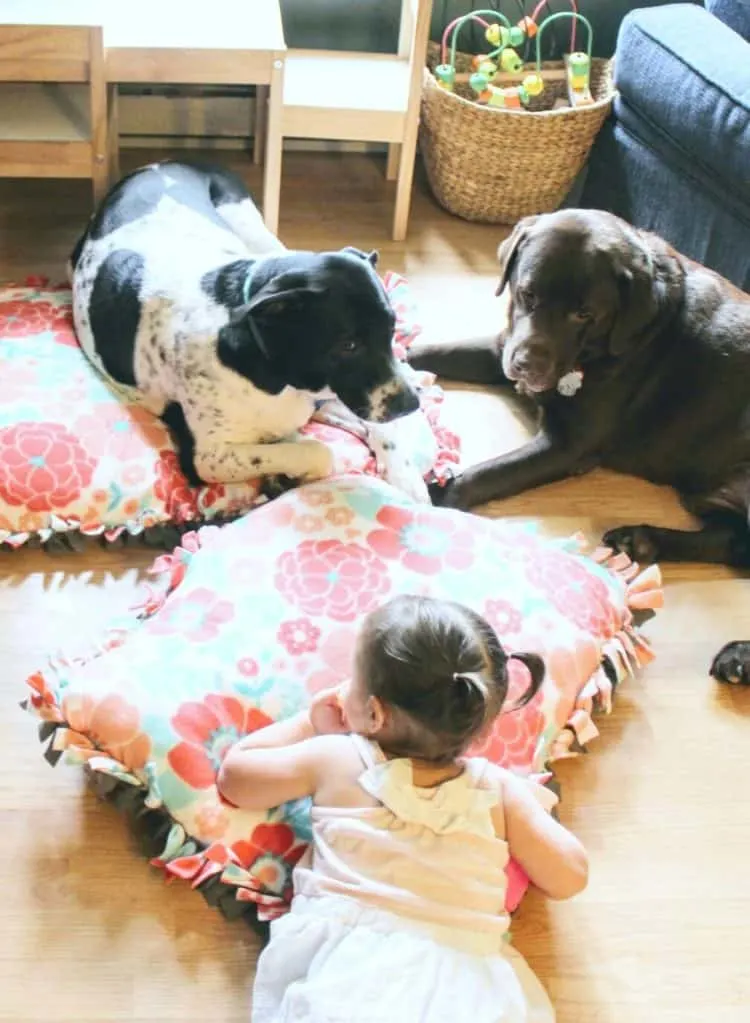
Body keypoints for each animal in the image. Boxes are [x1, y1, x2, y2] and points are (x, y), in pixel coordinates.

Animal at [68, 161, 421, 488]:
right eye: (349, 345)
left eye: (390, 331)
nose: (412, 404)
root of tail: (165, 163)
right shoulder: (207, 457)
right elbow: (318, 451)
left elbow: (383, 429)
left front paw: (407, 480)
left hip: (256, 231)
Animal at [407, 207, 748, 683]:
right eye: (527, 293)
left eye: (584, 313)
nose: (525, 365)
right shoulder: (499, 346)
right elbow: (425, 352)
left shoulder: (566, 447)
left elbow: (478, 476)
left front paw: (429, 495)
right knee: (732, 541)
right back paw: (641, 542)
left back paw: (738, 656)